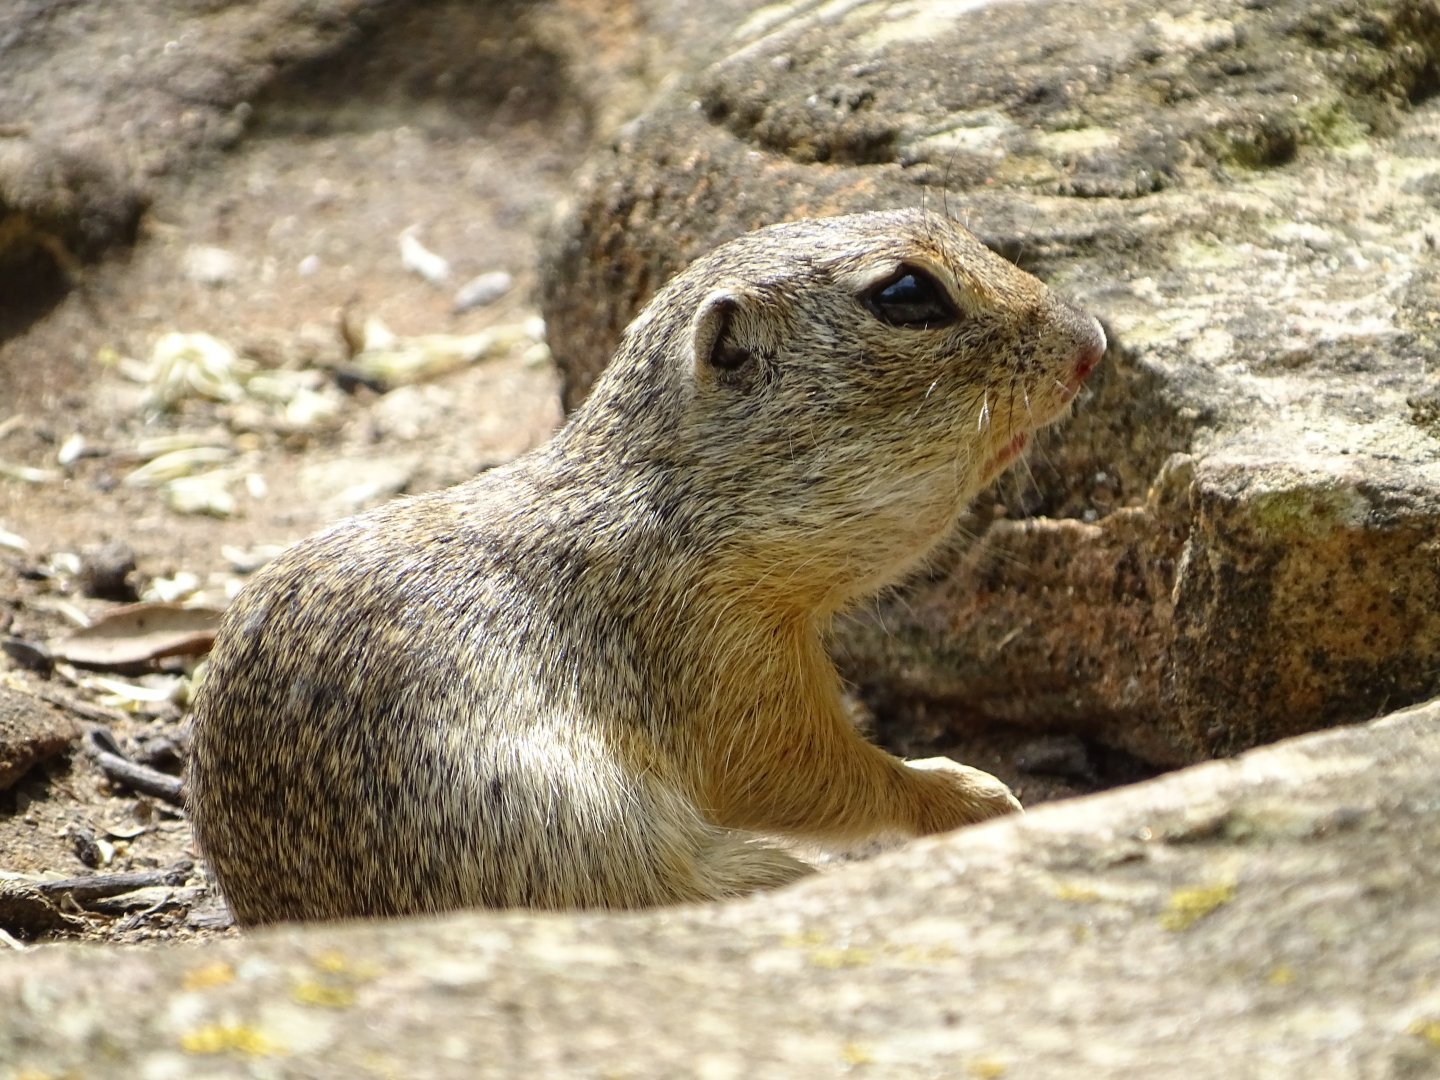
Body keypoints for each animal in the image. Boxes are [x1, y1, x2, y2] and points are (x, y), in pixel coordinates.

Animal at [186, 209, 1106, 924]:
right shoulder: (732, 668)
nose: (1091, 341)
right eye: (907, 295)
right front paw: (971, 796)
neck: (677, 506)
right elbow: (795, 775)